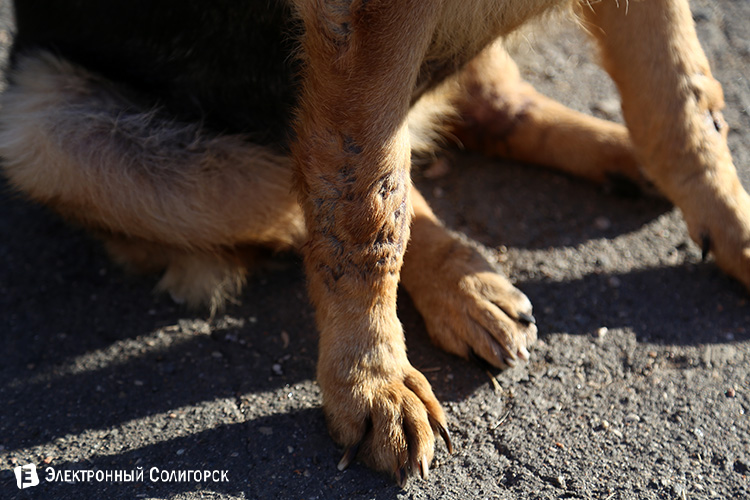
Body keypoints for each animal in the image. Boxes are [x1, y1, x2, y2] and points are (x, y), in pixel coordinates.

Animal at [2, 0, 749, 486]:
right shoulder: (367, 22)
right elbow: (365, 203)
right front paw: (370, 383)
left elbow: (681, 101)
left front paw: (733, 221)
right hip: (42, 132)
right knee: (318, 179)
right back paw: (461, 282)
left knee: (478, 106)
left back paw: (608, 162)